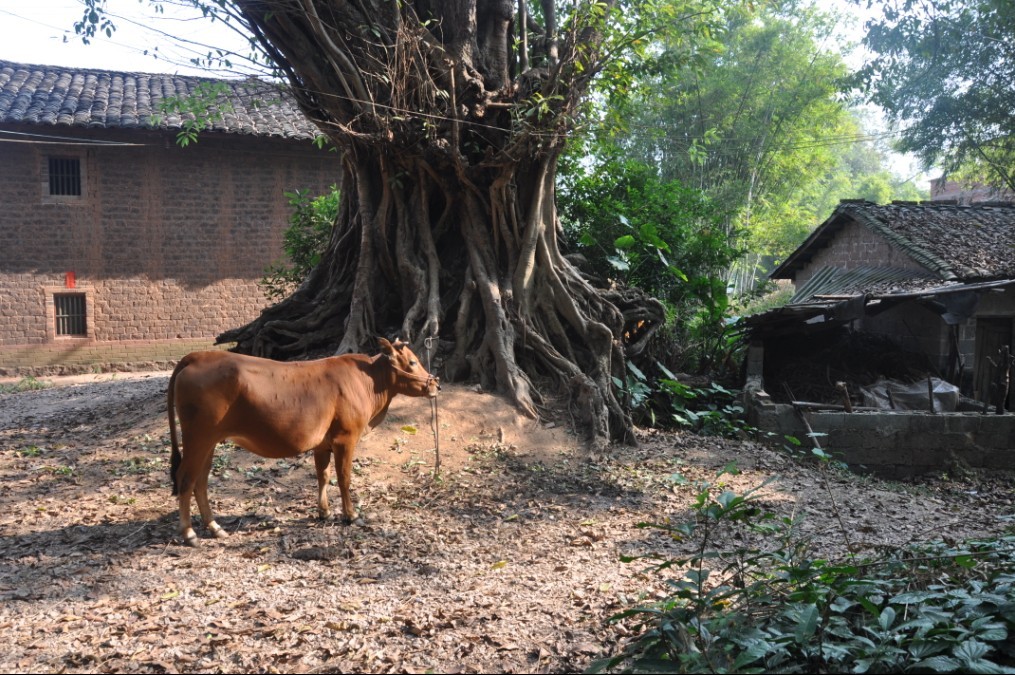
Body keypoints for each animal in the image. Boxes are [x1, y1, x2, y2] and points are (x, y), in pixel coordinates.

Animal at [166, 339, 436, 544]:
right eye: (412, 362)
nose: (436, 384)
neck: (367, 381)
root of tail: (198, 356)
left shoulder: (323, 443)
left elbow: (323, 475)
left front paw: (324, 512)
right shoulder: (345, 439)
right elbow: (344, 478)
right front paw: (351, 515)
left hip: (209, 442)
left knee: (201, 482)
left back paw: (214, 527)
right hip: (198, 438)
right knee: (186, 479)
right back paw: (189, 532)